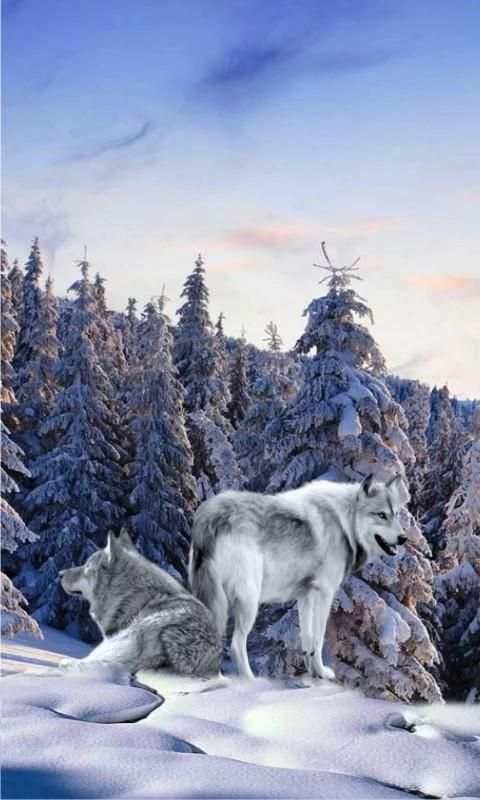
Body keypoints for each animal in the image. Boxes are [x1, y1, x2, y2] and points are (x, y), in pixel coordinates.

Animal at [189, 474, 410, 680]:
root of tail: (207, 518)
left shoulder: (306, 596)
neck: (344, 522)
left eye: (397, 514)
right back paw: (250, 680)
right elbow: (319, 639)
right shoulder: (325, 594)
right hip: (248, 602)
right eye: (381, 515)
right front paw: (322, 672)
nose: (403, 538)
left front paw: (312, 671)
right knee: (235, 645)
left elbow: (308, 639)